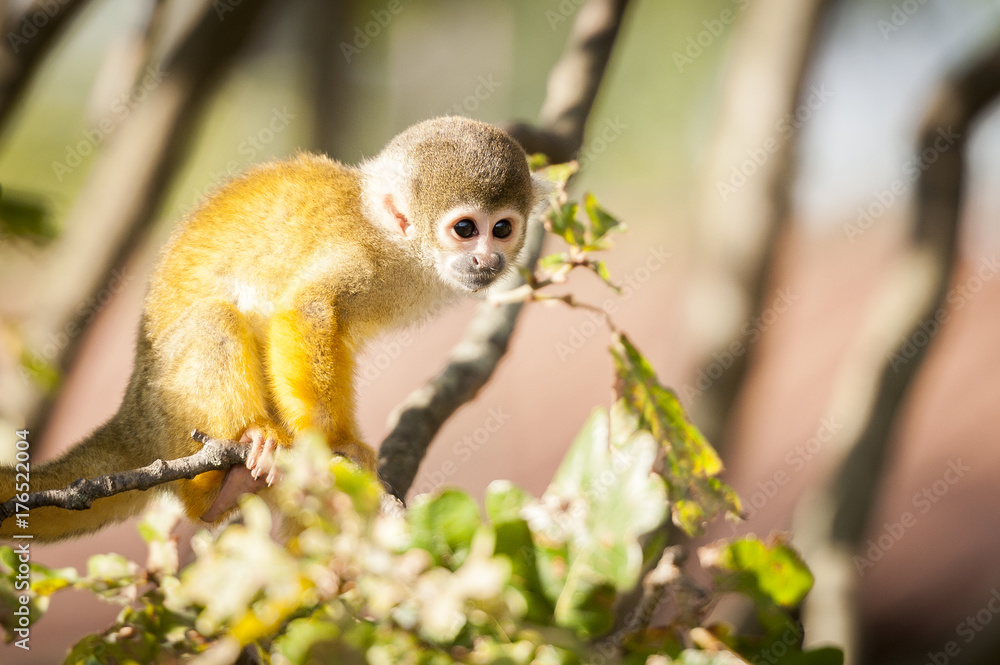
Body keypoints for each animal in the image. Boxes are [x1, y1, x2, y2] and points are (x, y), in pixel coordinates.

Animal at [1, 116, 549, 542]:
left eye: (502, 228)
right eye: (465, 229)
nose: (488, 260)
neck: (398, 245)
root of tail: (130, 415)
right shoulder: (361, 256)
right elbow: (306, 309)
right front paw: (330, 446)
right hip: (168, 411)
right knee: (214, 319)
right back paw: (226, 478)